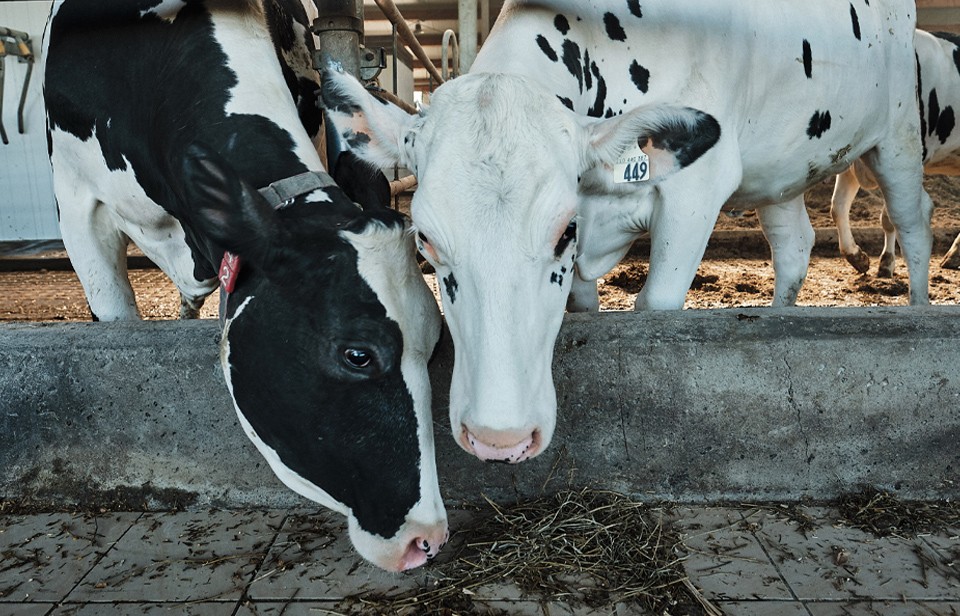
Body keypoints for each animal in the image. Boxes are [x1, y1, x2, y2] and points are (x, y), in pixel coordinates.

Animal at [320, 0, 928, 462]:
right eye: (424, 240)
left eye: (564, 231)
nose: (499, 439)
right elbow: (585, 306)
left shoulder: (697, 188)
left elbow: (653, 304)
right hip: (777, 169)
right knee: (794, 244)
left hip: (899, 134)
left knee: (912, 218)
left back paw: (917, 302)